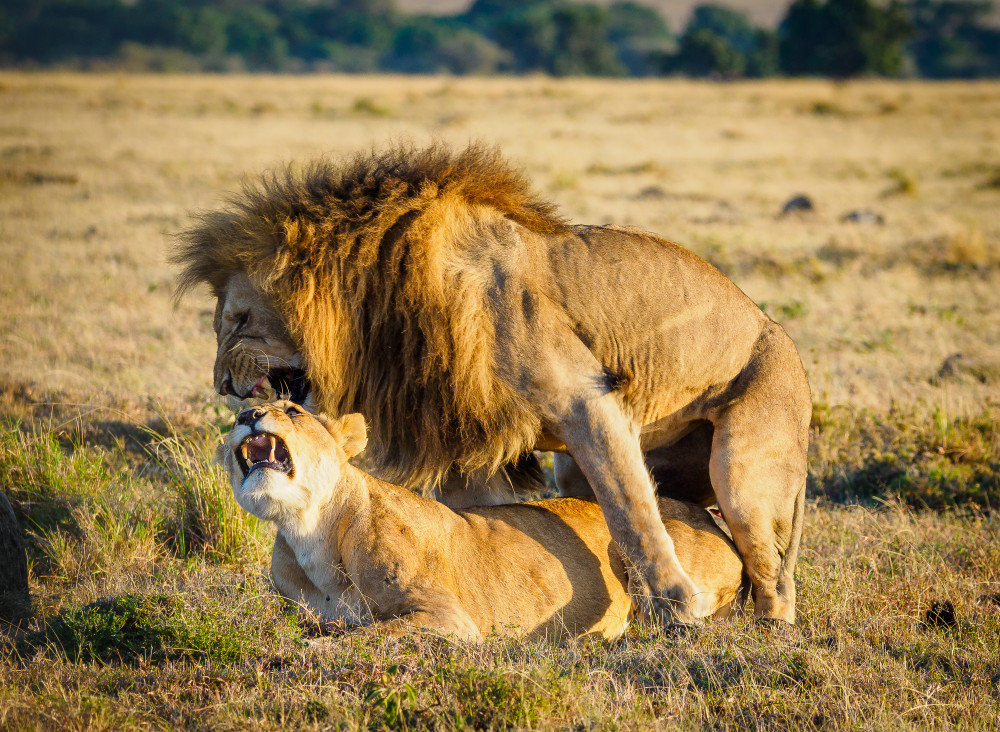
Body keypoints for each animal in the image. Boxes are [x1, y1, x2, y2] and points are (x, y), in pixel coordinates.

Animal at [218, 402, 747, 640]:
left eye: (292, 409)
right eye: (243, 410)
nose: (248, 413)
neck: (310, 533)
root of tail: (705, 515)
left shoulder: (448, 619)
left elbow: (364, 635)